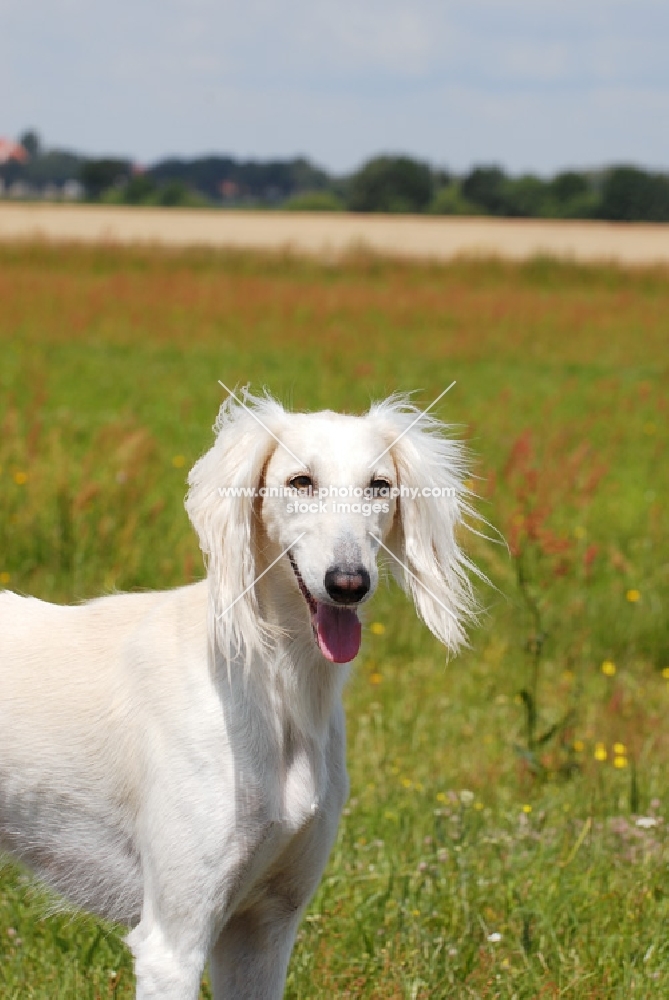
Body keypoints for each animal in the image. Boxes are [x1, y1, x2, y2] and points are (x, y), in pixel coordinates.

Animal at [0, 392, 474, 1000]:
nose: (348, 583)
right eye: (300, 481)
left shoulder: (264, 928)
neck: (277, 691)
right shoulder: (172, 942)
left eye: (379, 485)